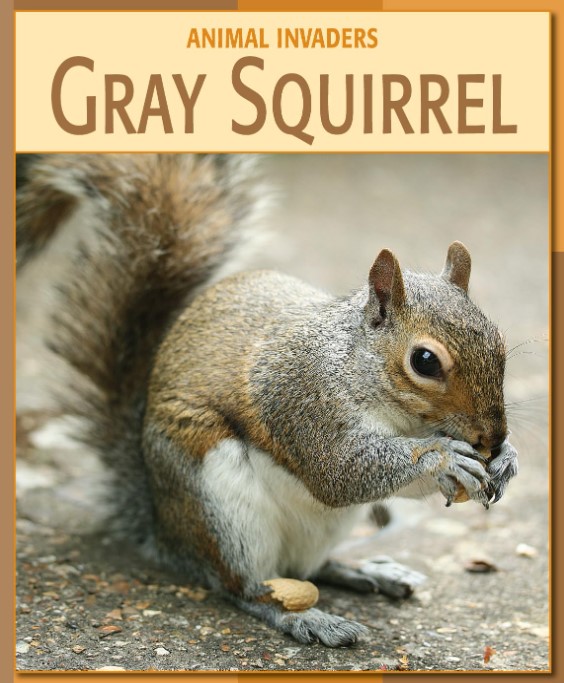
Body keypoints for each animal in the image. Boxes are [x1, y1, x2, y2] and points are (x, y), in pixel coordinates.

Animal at [16, 153, 518, 648]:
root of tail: (163, 528)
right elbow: (341, 472)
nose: (493, 438)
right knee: (246, 587)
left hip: (320, 528)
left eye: (498, 340)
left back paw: (365, 571)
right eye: (425, 361)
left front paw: (506, 460)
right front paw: (443, 458)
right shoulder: (301, 398)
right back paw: (307, 618)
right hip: (223, 512)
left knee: (308, 568)